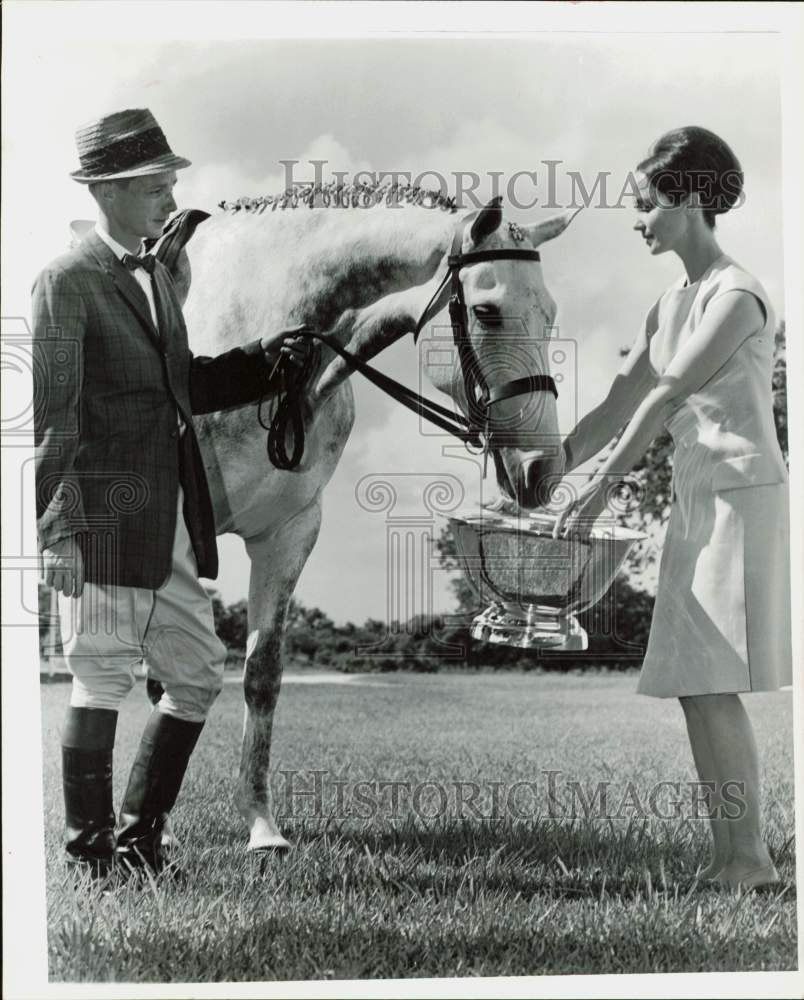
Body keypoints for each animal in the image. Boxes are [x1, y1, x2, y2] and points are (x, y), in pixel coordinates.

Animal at [157, 184, 576, 848]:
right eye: (487, 313)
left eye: (550, 314)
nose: (543, 469)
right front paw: (156, 830)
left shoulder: (288, 533)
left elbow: (261, 676)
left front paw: (261, 827)